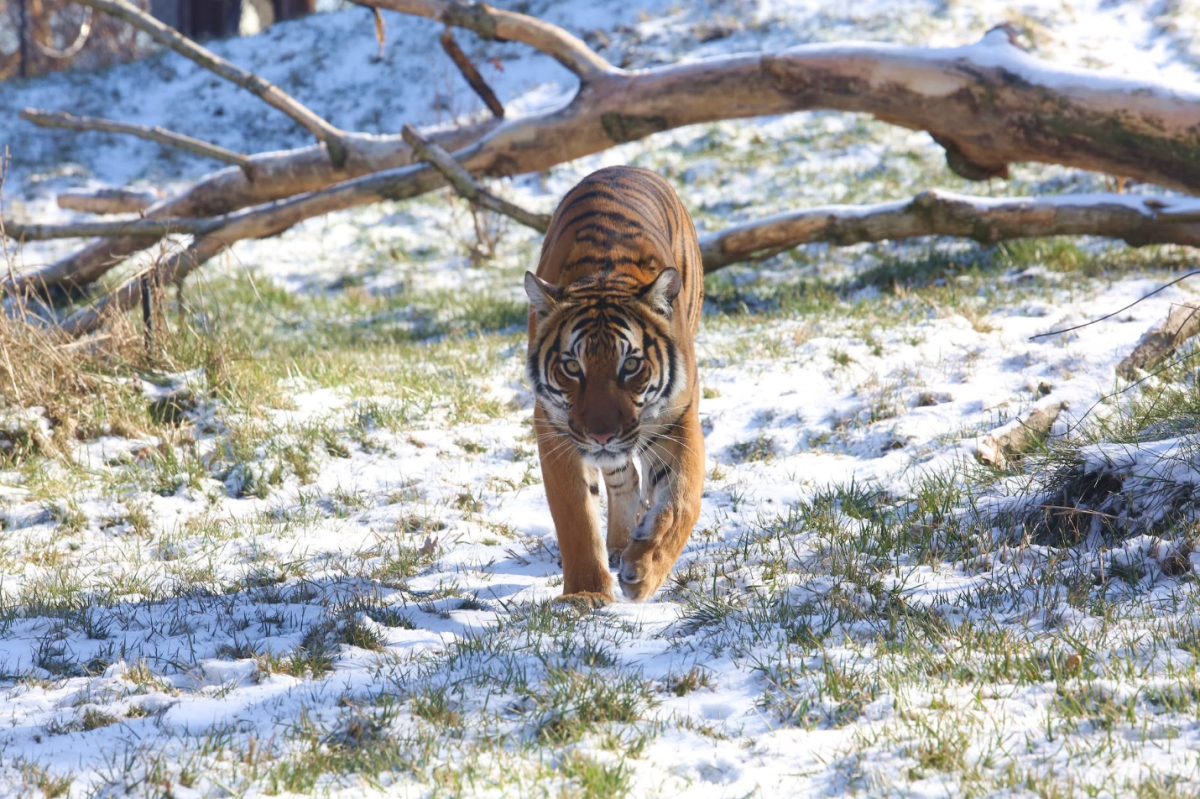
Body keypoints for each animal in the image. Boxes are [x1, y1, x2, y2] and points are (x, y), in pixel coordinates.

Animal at [523, 167, 700, 604]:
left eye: (631, 365)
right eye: (572, 367)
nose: (601, 435)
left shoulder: (679, 418)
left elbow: (683, 500)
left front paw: (645, 569)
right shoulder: (553, 427)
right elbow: (575, 517)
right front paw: (585, 594)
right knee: (625, 478)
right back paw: (619, 547)